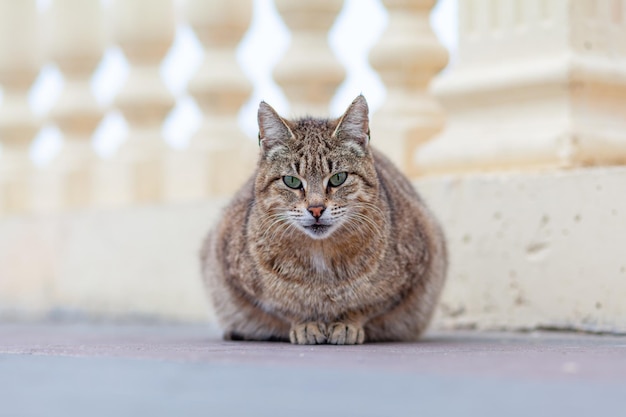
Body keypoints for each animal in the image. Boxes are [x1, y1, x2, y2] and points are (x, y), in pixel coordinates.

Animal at [200, 95, 444, 344]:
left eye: (338, 178)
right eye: (291, 181)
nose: (316, 209)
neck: (321, 257)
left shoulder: (418, 266)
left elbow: (365, 306)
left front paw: (347, 324)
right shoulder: (228, 267)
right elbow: (287, 308)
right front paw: (306, 324)